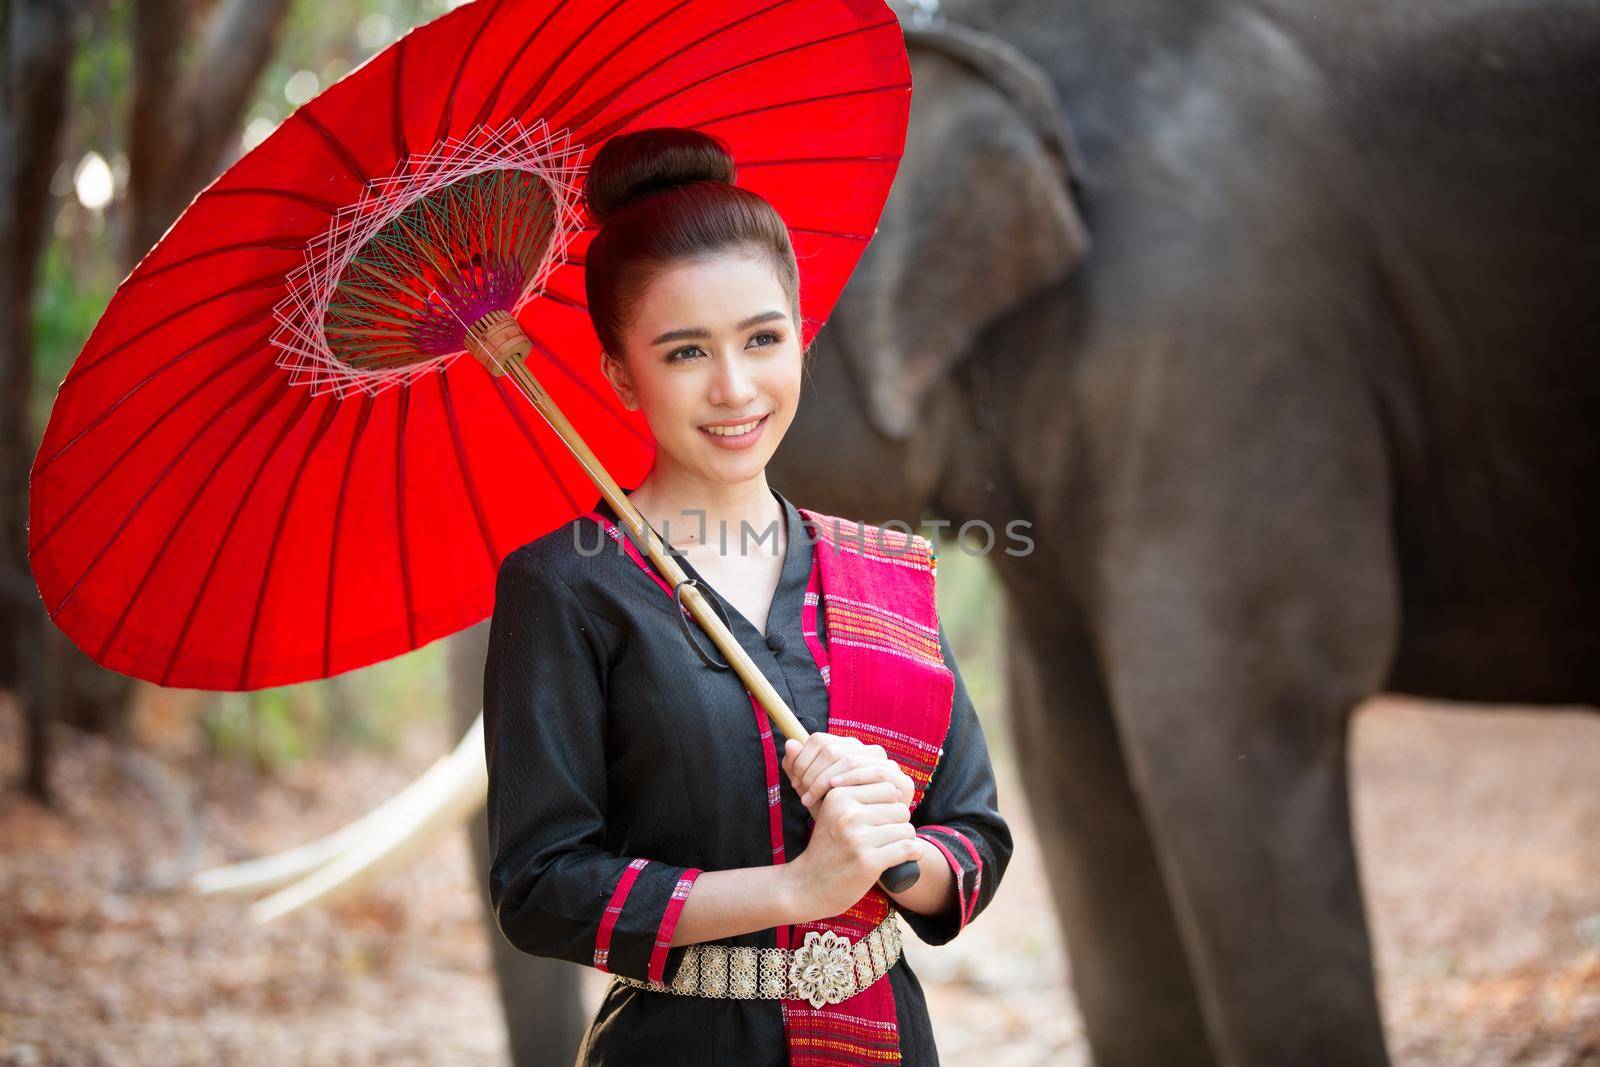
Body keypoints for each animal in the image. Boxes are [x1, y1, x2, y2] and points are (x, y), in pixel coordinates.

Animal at [428, 4, 1600, 1062]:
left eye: (762, 336)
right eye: (681, 351)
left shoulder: (1221, 333)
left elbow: (1201, 732)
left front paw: (881, 829)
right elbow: (1069, 755)